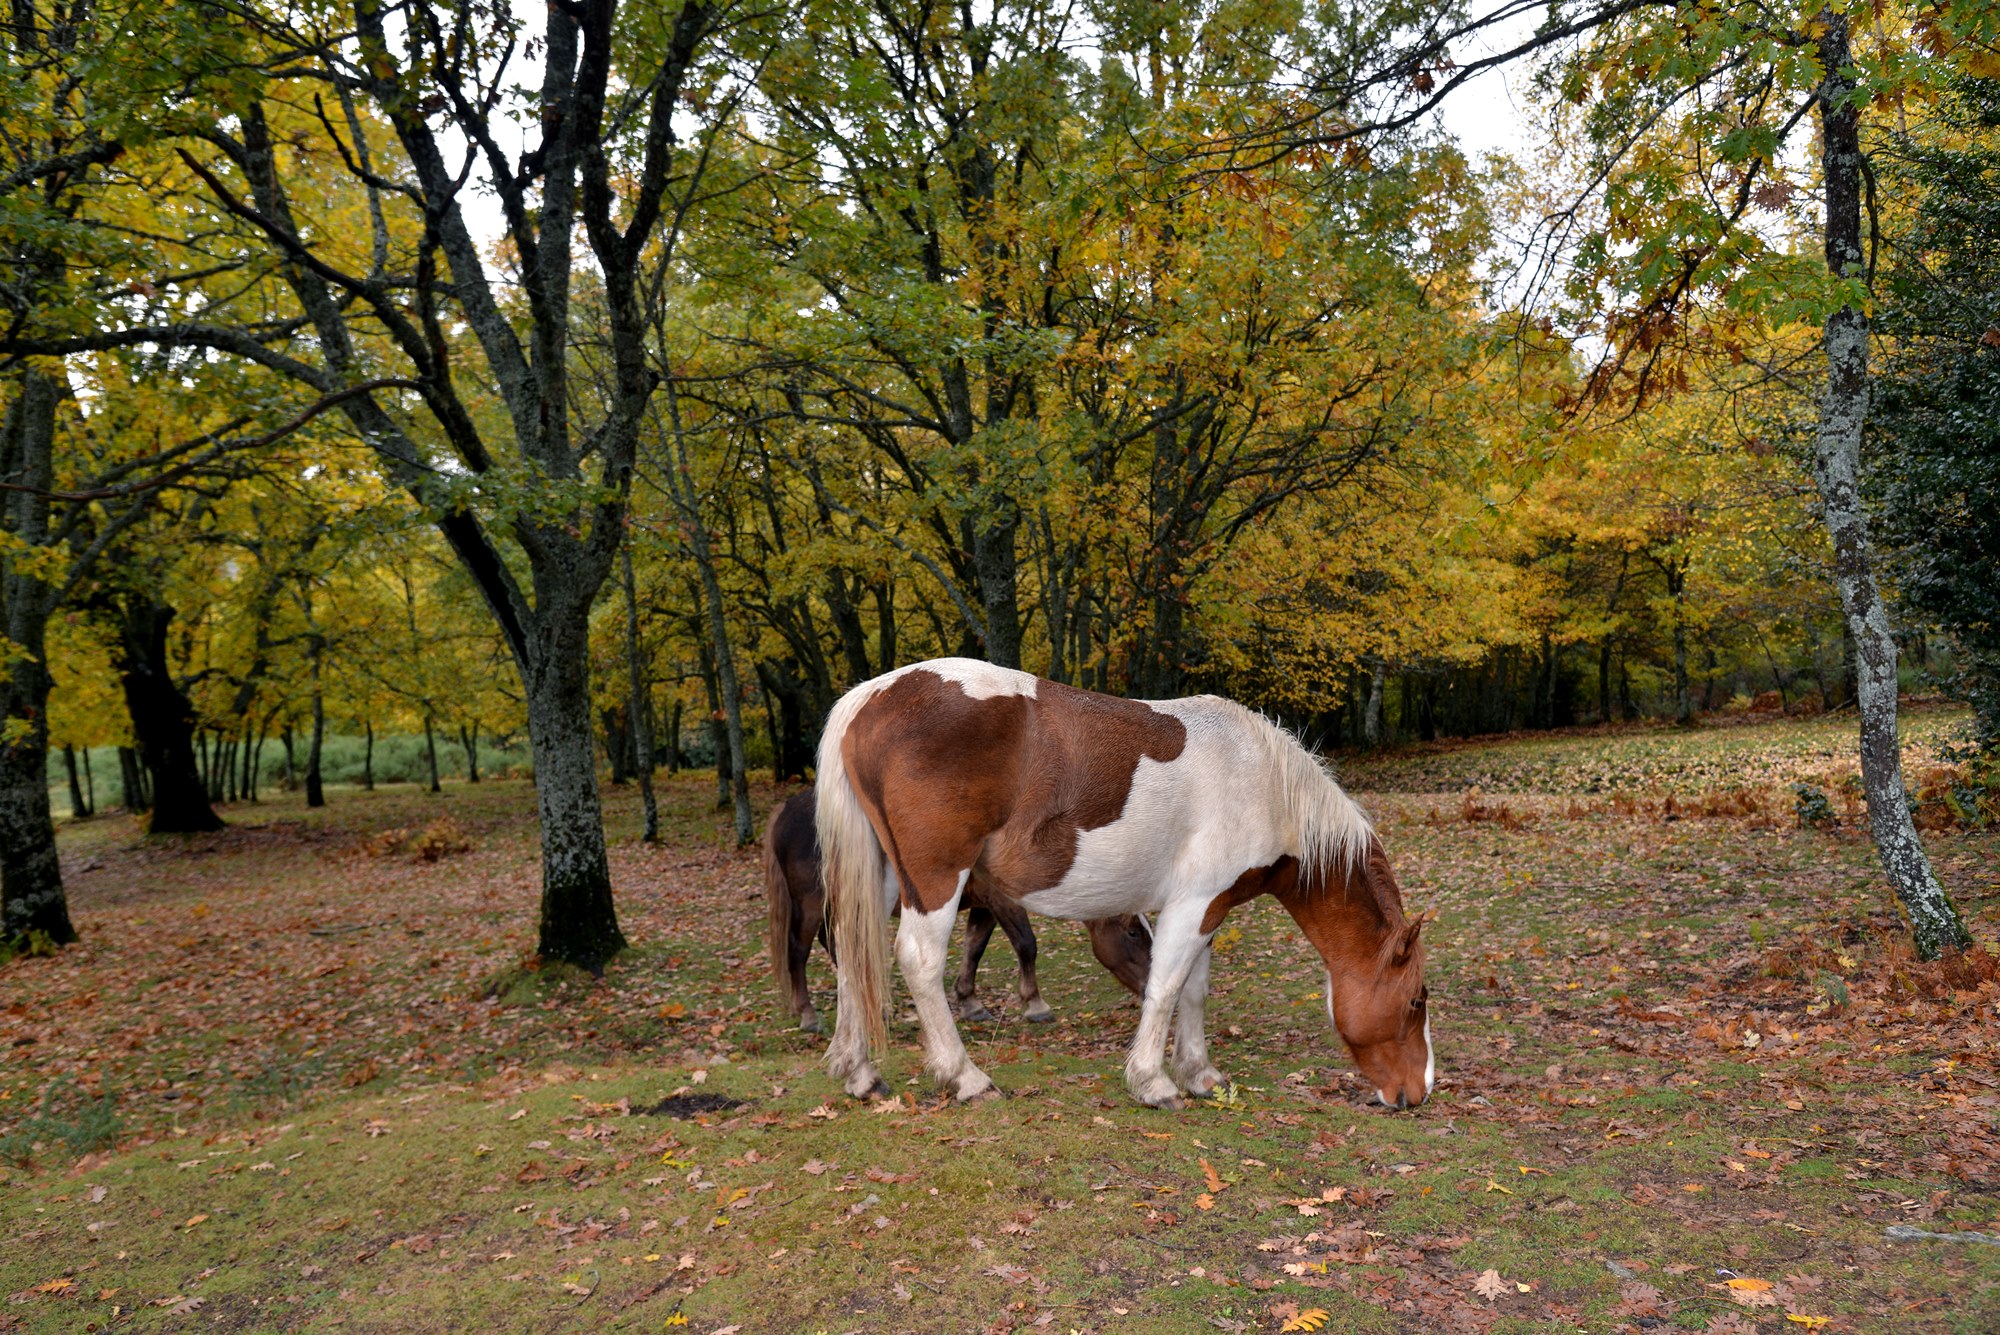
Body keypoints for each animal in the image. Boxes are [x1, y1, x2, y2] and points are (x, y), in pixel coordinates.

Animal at [762, 786, 1154, 1034]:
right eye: (1133, 931)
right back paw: (808, 1013)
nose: (1151, 987)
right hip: (811, 902)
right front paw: (1035, 1004)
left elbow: (974, 949)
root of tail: (786, 810)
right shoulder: (1004, 903)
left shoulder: (985, 907)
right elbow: (1027, 945)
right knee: (798, 950)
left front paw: (969, 1001)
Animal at [814, 658, 1433, 1110]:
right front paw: (1153, 1082)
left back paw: (859, 1072)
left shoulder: (1207, 908)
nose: (1418, 1093)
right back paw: (965, 1077)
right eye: (1415, 1001)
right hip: (937, 880)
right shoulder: (1195, 906)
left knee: (850, 952)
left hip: (882, 876)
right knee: (919, 961)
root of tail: (870, 697)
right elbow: (1166, 987)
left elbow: (1193, 989)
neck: (1262, 782)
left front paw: (1200, 1073)